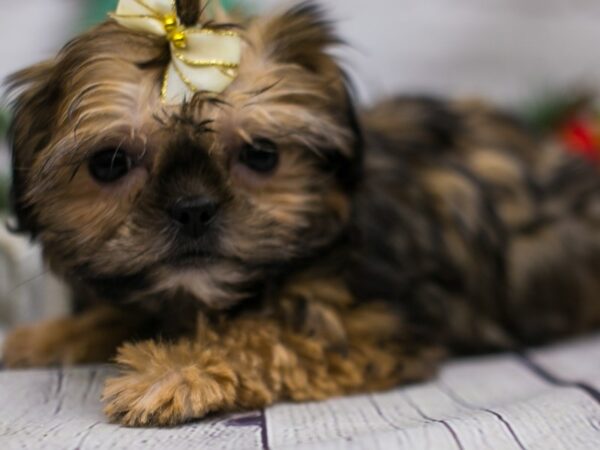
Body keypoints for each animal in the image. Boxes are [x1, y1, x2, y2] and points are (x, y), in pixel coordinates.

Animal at [3, 0, 600, 428]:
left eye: (261, 154)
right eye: (110, 163)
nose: (192, 210)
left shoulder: (364, 327)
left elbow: (262, 337)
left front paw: (173, 371)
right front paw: (43, 336)